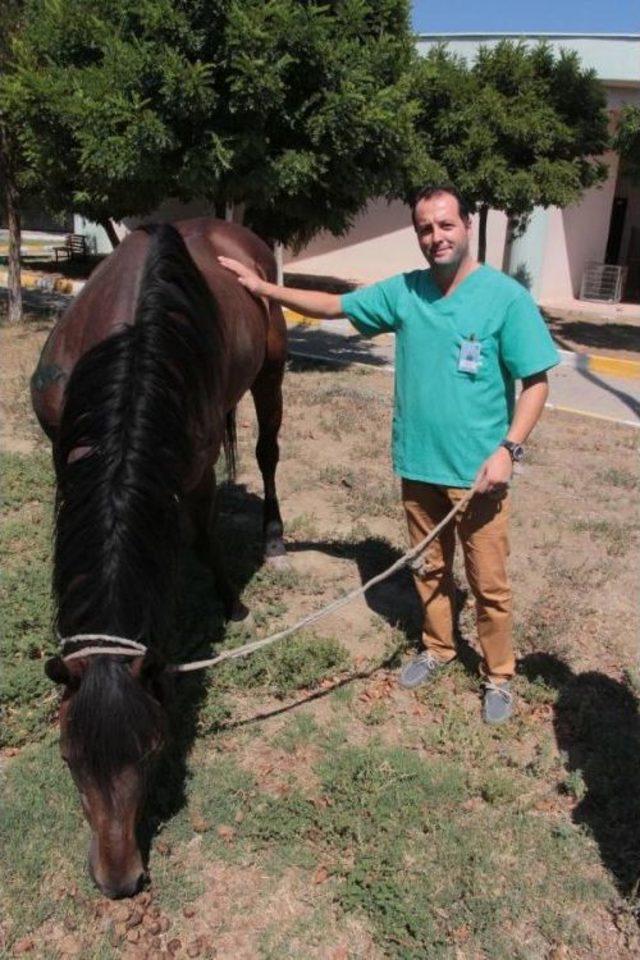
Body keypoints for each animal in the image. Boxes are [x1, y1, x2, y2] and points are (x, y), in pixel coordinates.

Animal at [31, 218, 288, 900]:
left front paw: (228, 601)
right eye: (68, 759)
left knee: (268, 449)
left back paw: (274, 532)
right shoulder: (66, 456)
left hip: (273, 365)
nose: (118, 881)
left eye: (150, 752)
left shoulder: (192, 463)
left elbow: (196, 534)